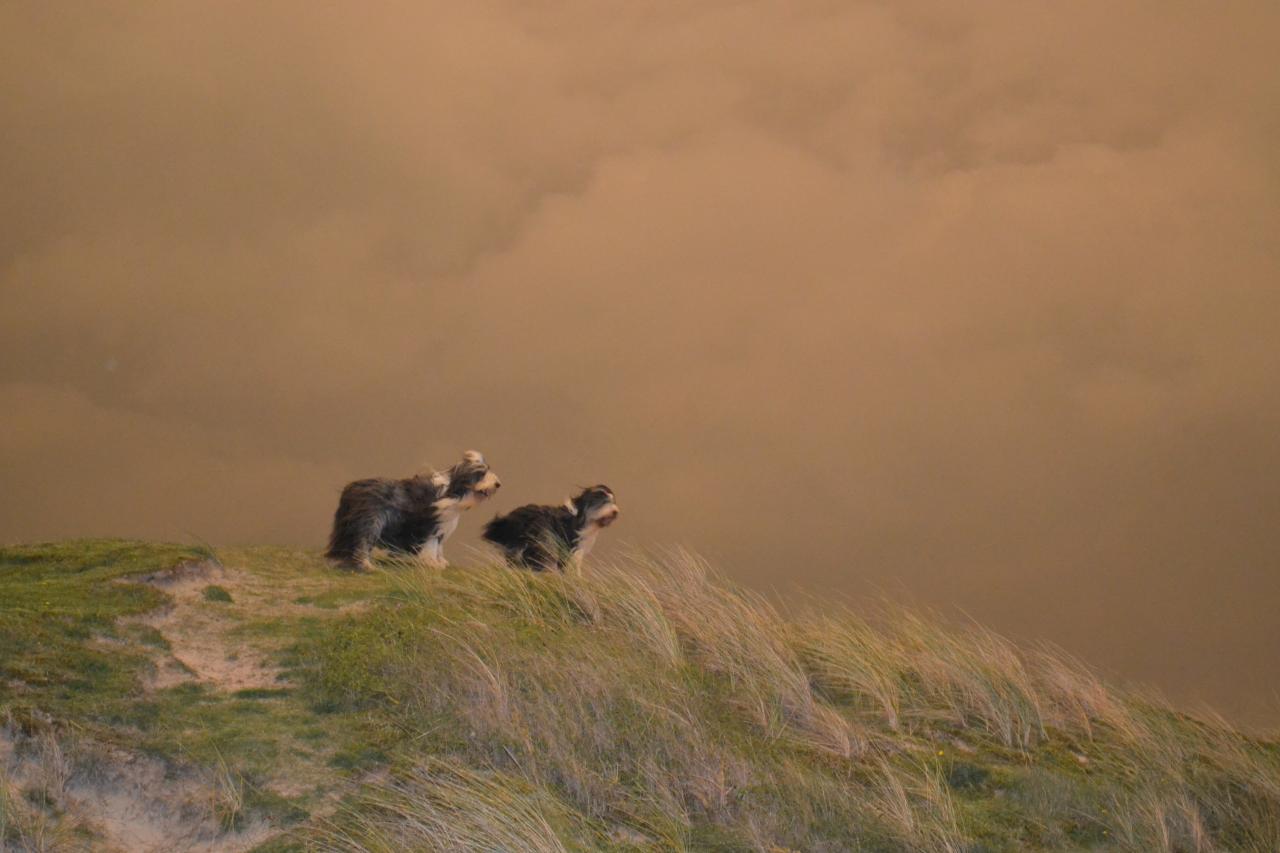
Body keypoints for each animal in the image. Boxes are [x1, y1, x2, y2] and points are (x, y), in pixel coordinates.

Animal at [325, 448, 499, 568]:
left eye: (488, 469)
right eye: (481, 473)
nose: (498, 484)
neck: (452, 492)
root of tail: (350, 489)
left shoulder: (442, 528)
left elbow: (439, 547)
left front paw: (441, 562)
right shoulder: (431, 525)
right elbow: (431, 545)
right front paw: (432, 563)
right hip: (370, 522)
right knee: (362, 542)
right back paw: (367, 565)